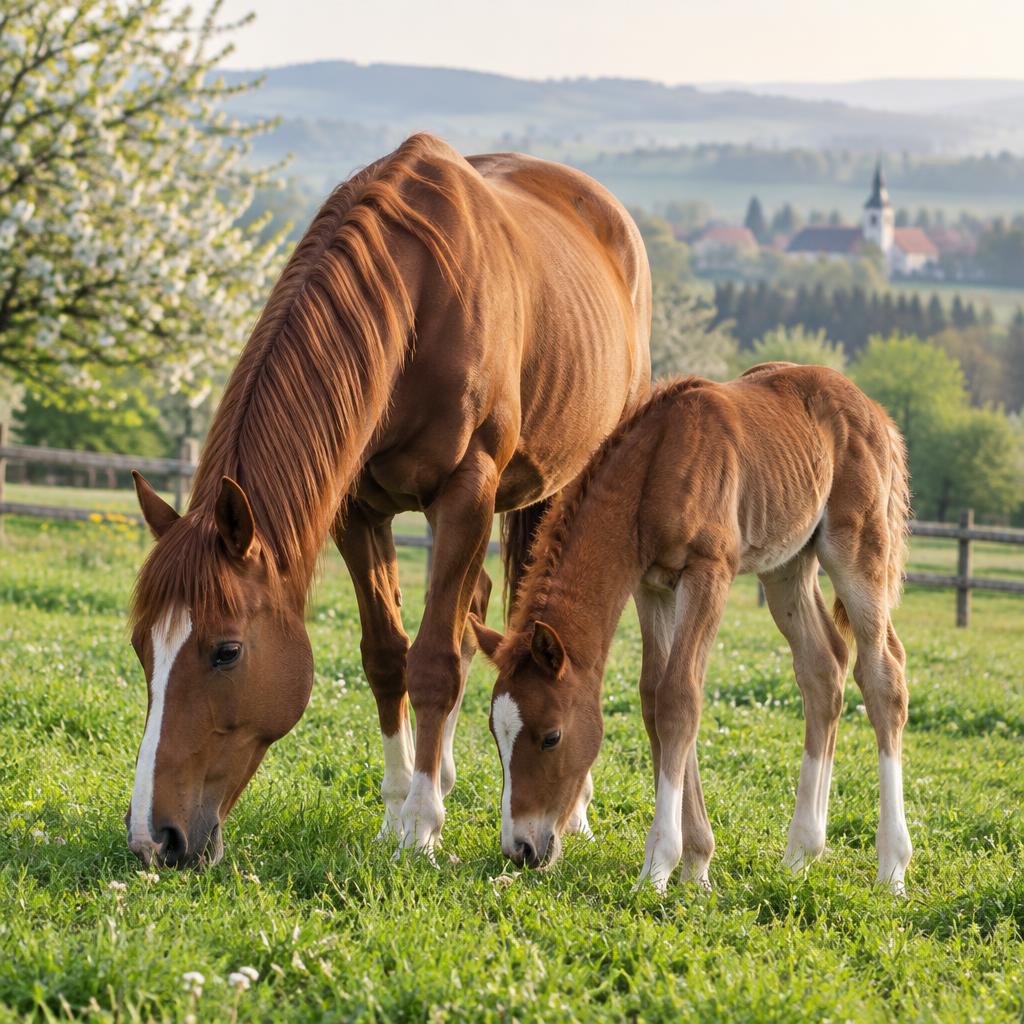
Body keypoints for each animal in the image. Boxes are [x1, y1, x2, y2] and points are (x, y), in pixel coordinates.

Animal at [126, 133, 651, 868]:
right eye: (142, 647)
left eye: (226, 651)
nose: (153, 839)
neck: (417, 298)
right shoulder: (357, 510)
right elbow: (387, 657)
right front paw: (400, 806)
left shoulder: (466, 493)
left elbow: (432, 662)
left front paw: (420, 827)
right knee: (473, 608)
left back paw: (568, 811)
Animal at [470, 363, 913, 894]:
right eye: (496, 736)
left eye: (551, 736)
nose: (520, 849)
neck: (656, 465)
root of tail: (877, 413)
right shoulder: (651, 586)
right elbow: (654, 699)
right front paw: (697, 866)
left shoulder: (708, 572)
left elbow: (680, 697)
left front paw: (658, 867)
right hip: (786, 566)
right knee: (823, 668)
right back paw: (801, 853)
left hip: (857, 548)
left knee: (883, 676)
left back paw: (891, 868)